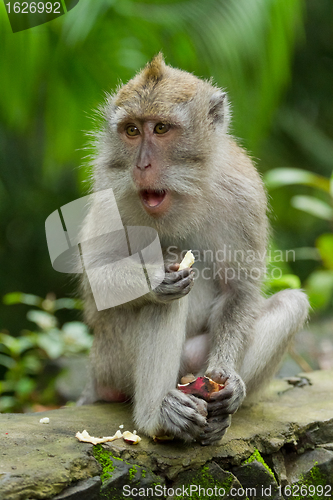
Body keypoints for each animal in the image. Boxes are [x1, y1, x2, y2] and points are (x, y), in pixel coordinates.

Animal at [78, 54, 308, 446]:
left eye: (161, 129)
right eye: (132, 131)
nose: (141, 165)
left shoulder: (243, 193)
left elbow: (239, 290)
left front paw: (229, 381)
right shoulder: (109, 190)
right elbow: (95, 279)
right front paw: (155, 278)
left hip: (190, 359)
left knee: (292, 303)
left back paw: (220, 412)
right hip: (111, 361)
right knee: (166, 303)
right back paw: (157, 418)